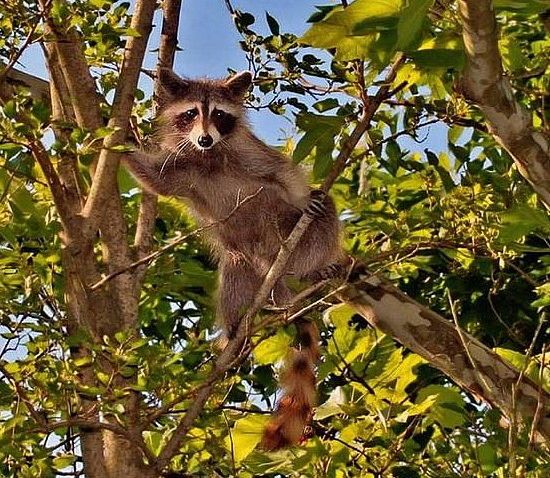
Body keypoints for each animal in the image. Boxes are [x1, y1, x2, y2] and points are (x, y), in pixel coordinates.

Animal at [125, 69, 344, 450]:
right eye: (191, 114)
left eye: (219, 115)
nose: (205, 138)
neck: (210, 156)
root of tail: (275, 272)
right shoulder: (180, 163)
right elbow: (156, 180)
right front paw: (115, 137)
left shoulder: (250, 153)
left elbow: (284, 174)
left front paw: (302, 199)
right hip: (243, 258)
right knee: (232, 278)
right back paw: (233, 330)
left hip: (293, 246)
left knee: (324, 212)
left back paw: (312, 270)